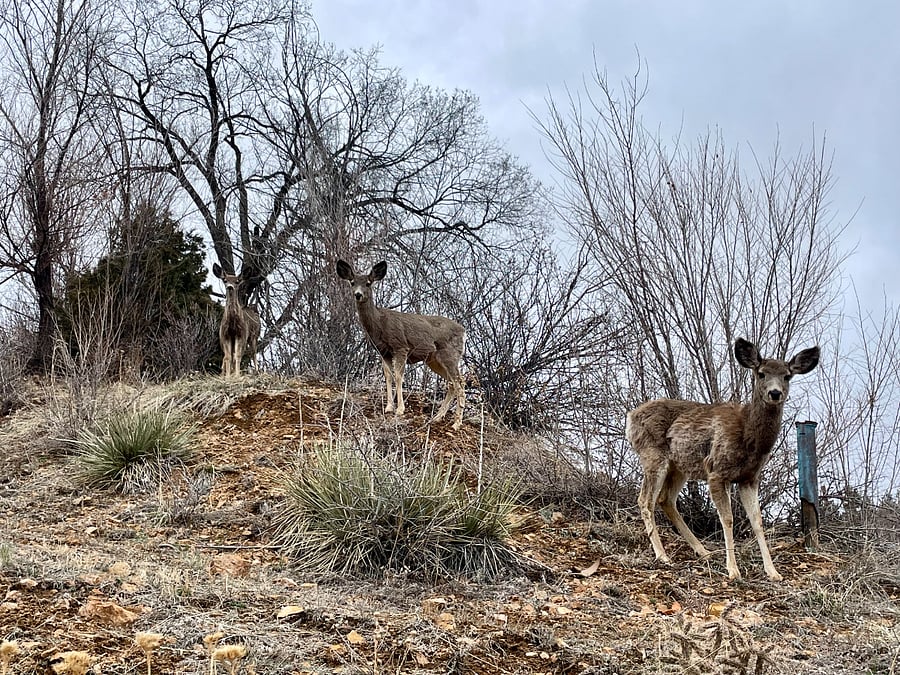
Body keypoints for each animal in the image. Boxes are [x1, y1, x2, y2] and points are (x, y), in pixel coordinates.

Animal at [336, 259, 467, 430]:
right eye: (352, 282)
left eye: (368, 283)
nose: (358, 294)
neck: (379, 324)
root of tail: (463, 331)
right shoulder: (383, 351)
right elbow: (388, 376)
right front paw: (389, 407)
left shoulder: (401, 347)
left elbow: (399, 376)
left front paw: (400, 409)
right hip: (433, 359)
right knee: (451, 383)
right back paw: (438, 417)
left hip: (450, 354)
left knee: (460, 382)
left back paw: (456, 423)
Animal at [625, 338, 820, 581]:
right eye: (761, 374)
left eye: (787, 376)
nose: (775, 393)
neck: (749, 439)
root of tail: (630, 417)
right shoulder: (716, 471)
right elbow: (727, 519)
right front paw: (733, 570)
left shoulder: (749, 478)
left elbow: (757, 521)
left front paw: (773, 572)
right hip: (652, 454)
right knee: (645, 500)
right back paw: (663, 555)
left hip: (679, 466)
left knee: (665, 499)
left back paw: (703, 551)